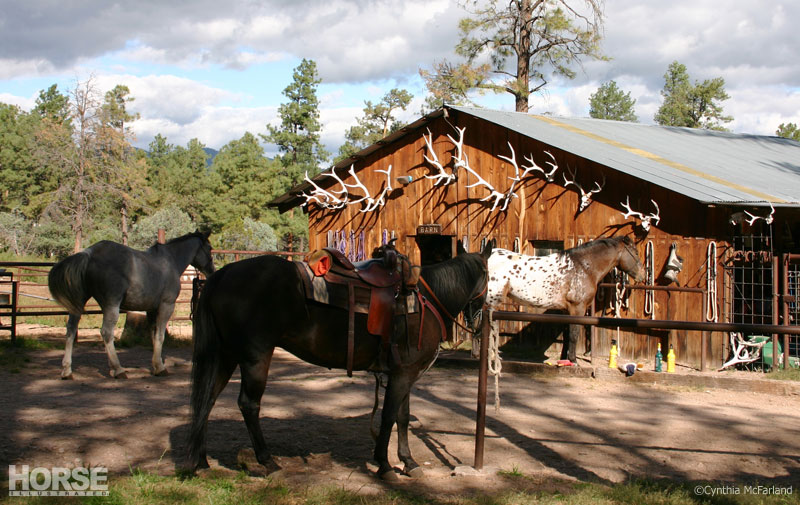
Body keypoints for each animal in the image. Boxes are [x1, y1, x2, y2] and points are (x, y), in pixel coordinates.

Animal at [48, 228, 214, 378]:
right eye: (210, 249)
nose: (212, 271)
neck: (170, 261)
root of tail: (89, 253)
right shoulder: (166, 306)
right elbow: (160, 336)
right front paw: (160, 367)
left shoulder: (151, 310)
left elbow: (154, 335)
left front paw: (156, 365)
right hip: (112, 306)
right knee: (106, 332)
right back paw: (118, 369)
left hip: (78, 304)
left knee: (71, 329)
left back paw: (67, 370)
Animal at [186, 242, 494, 478]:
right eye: (491, 276)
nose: (479, 318)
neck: (427, 299)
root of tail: (222, 275)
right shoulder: (403, 374)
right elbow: (388, 416)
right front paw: (384, 465)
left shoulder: (405, 373)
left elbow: (402, 418)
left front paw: (409, 462)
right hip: (255, 356)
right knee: (248, 405)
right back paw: (267, 461)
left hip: (225, 355)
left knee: (207, 399)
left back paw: (201, 463)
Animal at [484, 236, 648, 362]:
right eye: (635, 252)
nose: (642, 275)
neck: (584, 267)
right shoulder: (578, 308)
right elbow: (574, 334)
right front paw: (573, 361)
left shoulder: (566, 310)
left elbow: (567, 334)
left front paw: (564, 360)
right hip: (491, 301)